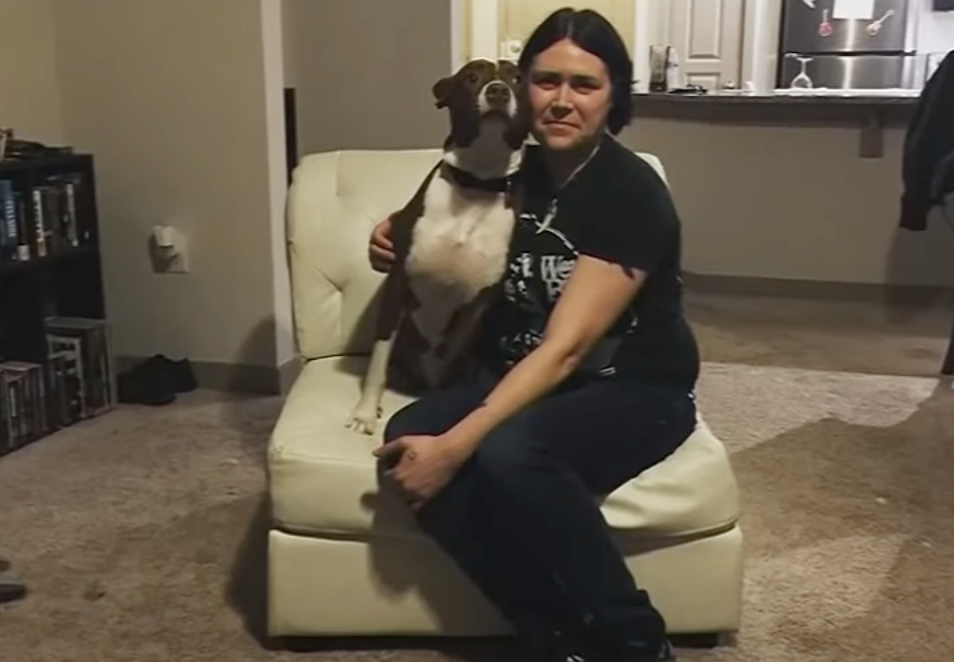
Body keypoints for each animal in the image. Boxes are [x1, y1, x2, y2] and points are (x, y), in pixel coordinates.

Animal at [346, 61, 528, 436]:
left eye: (517, 78)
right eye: (472, 77)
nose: (498, 90)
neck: (477, 186)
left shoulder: (478, 305)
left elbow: (450, 358)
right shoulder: (399, 281)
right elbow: (379, 357)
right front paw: (365, 413)